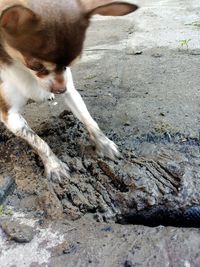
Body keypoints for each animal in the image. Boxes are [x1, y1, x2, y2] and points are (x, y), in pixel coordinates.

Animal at [0, 0, 138, 183]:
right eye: (36, 66)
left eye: (70, 64)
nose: (60, 90)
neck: (26, 73)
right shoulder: (11, 116)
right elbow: (38, 141)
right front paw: (55, 166)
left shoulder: (71, 91)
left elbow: (89, 119)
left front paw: (104, 143)